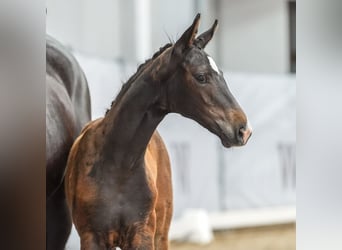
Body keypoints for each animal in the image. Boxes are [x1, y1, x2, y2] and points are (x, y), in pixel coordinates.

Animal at [65, 14, 251, 250]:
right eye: (201, 76)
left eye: (222, 75)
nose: (244, 130)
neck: (117, 165)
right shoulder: (92, 238)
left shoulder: (143, 234)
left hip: (161, 232)